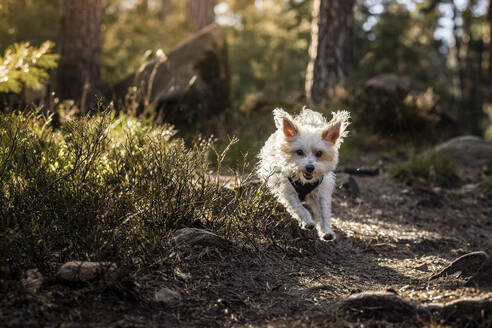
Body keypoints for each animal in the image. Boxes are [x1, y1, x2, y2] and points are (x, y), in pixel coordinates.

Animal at [258, 109, 350, 240]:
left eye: (319, 153)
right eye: (299, 152)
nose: (310, 167)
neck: (304, 181)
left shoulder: (320, 192)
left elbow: (323, 213)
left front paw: (326, 231)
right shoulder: (287, 190)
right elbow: (299, 207)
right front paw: (307, 221)